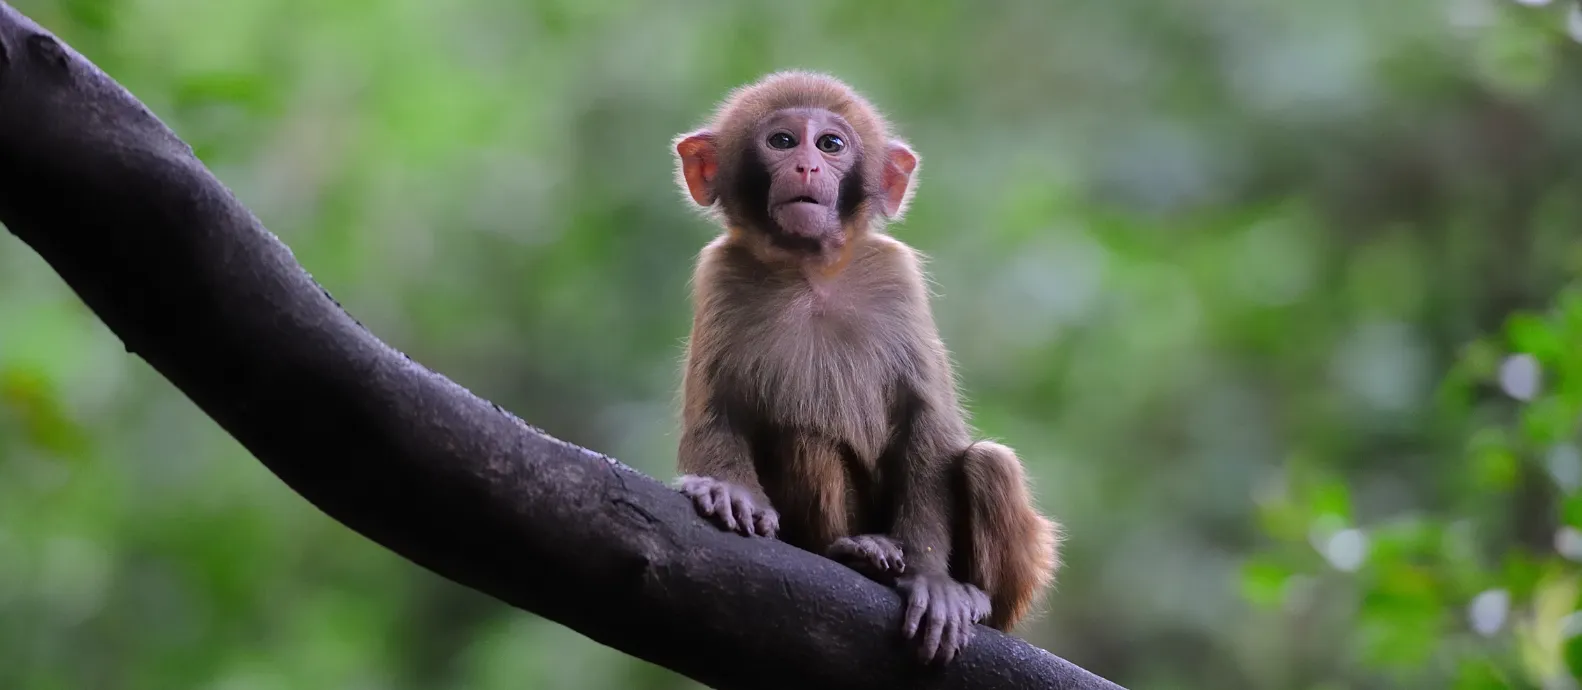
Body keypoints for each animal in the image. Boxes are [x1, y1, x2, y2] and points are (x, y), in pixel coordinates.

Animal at [669, 71, 1061, 666]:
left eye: (831, 144)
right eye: (782, 141)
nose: (807, 166)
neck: (809, 270)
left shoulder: (897, 279)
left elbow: (928, 426)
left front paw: (931, 578)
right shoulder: (720, 277)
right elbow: (714, 412)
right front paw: (728, 491)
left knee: (989, 464)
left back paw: (973, 595)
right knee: (806, 440)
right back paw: (857, 550)